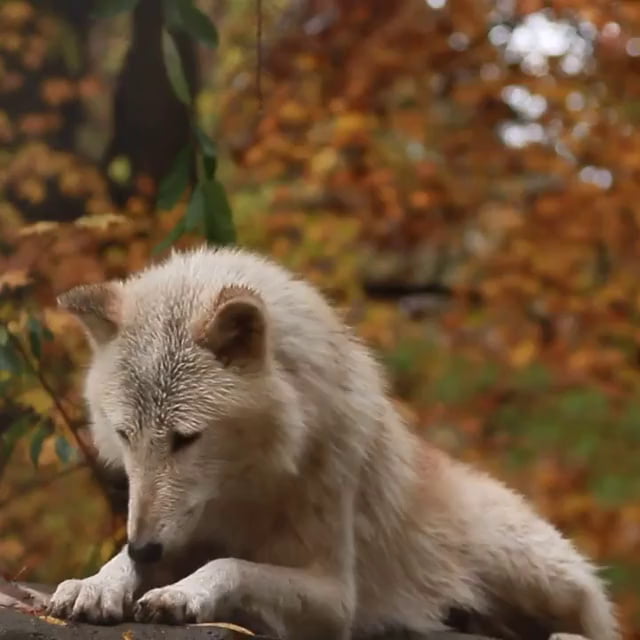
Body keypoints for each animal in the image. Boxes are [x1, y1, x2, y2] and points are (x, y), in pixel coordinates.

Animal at [47, 246, 618, 640]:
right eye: (126, 435)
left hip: (528, 568)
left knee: (593, 624)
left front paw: (182, 595)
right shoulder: (175, 531)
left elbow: (230, 566)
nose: (145, 546)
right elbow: (123, 564)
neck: (249, 487)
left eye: (186, 439)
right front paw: (93, 584)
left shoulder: (335, 596)